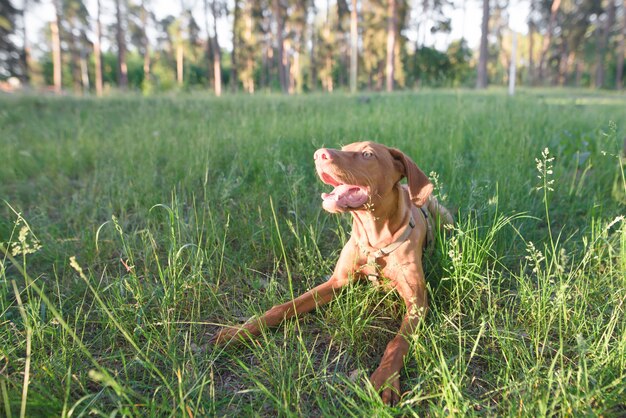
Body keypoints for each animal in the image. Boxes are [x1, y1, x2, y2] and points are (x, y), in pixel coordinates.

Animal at [212, 141, 450, 404]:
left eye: (367, 154)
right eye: (344, 148)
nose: (318, 155)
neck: (375, 240)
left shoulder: (417, 302)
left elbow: (397, 342)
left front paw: (385, 378)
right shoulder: (337, 281)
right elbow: (284, 307)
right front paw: (239, 332)